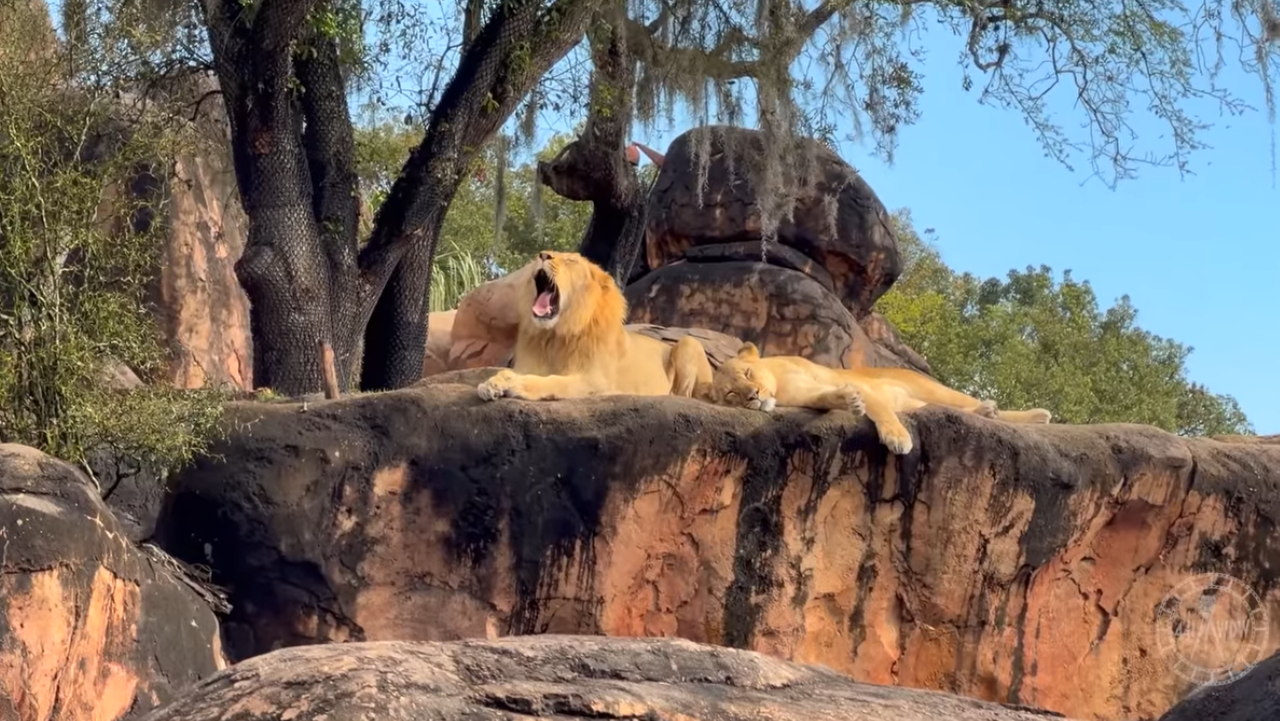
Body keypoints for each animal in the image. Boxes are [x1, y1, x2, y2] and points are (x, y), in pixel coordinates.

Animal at [476, 250, 714, 401]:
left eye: (570, 260)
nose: (542, 255)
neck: (555, 334)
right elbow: (508, 372)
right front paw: (492, 383)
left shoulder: (595, 381)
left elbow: (554, 381)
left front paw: (519, 386)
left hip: (688, 343)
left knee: (687, 395)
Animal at [704, 342, 1052, 455]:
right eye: (731, 393)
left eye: (748, 373)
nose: (753, 396)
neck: (779, 385)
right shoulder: (809, 393)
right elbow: (829, 398)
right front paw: (850, 401)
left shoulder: (843, 379)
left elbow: (880, 409)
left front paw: (898, 438)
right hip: (921, 402)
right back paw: (988, 412)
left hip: (929, 388)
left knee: (960, 399)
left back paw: (1035, 414)